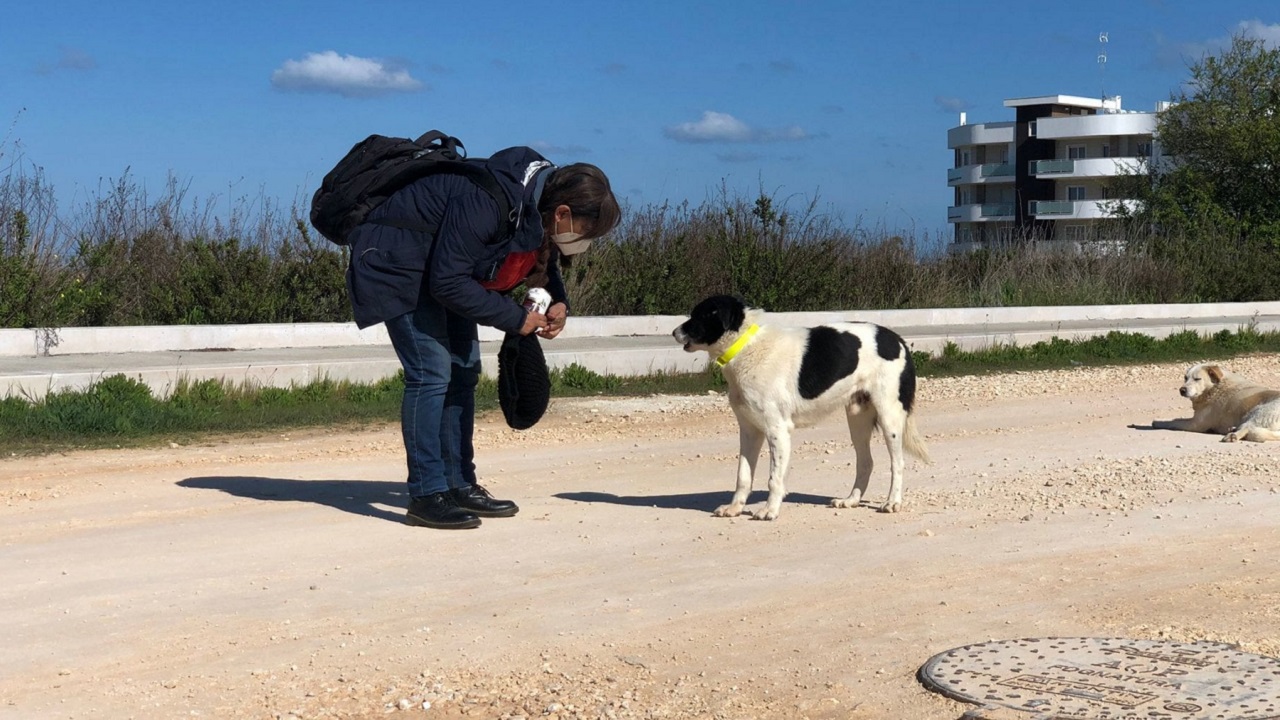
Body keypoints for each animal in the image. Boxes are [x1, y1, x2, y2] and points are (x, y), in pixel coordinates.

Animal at [670, 294, 931, 517]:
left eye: (699, 315)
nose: (673, 332)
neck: (745, 346)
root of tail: (898, 339)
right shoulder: (749, 430)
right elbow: (743, 476)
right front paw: (735, 508)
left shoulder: (777, 430)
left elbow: (774, 478)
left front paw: (770, 511)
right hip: (858, 419)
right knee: (865, 462)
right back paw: (851, 500)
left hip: (889, 416)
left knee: (897, 462)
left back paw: (892, 502)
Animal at [1152, 361, 1280, 440]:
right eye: (1185, 378)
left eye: (1197, 379)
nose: (1182, 390)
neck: (1214, 389)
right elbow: (1176, 419)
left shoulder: (1196, 423)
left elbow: (1174, 422)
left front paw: (1158, 422)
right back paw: (1232, 429)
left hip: (1258, 413)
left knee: (1248, 428)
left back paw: (1232, 436)